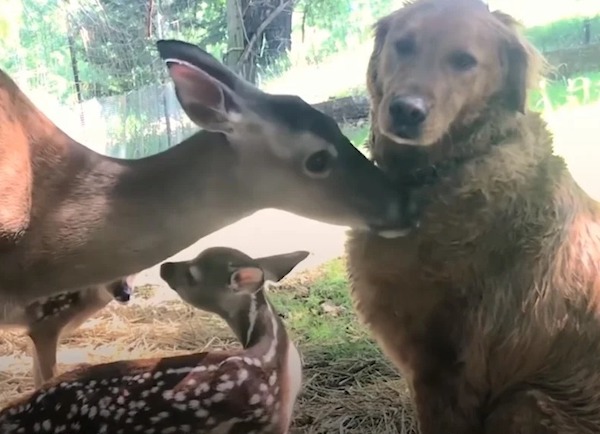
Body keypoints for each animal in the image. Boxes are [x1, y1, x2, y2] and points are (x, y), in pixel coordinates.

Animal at [344, 0, 600, 434]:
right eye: (404, 45)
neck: (453, 163)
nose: (405, 111)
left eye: (464, 61)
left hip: (523, 402)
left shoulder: (445, 366)